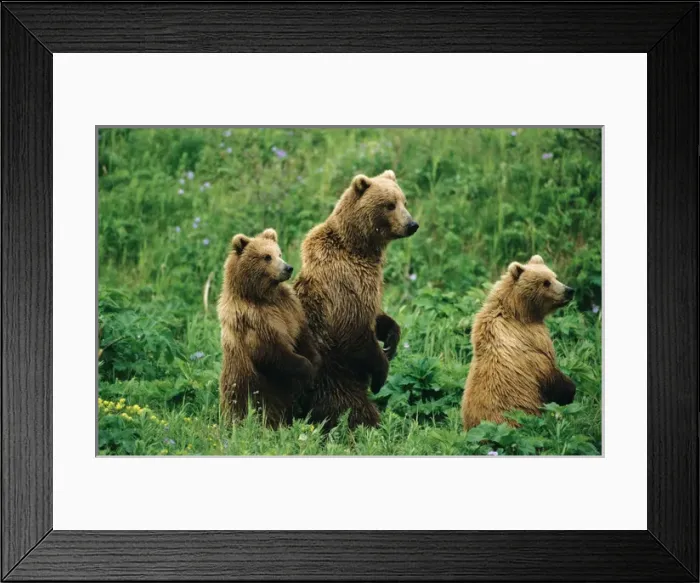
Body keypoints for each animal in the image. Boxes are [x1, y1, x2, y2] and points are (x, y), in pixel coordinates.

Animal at [218, 228, 321, 426]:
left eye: (279, 253)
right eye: (266, 257)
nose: (288, 268)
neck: (263, 296)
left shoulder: (290, 309)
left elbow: (302, 336)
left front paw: (315, 365)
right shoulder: (254, 320)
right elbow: (270, 353)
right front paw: (308, 372)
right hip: (247, 391)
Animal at [293, 170, 419, 429]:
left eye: (405, 201)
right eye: (389, 205)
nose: (412, 225)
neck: (360, 248)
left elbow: (377, 315)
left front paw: (391, 340)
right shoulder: (346, 281)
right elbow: (354, 328)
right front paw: (381, 373)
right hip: (331, 377)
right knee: (352, 407)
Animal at [461, 254, 577, 431]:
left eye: (554, 276)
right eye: (545, 282)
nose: (569, 290)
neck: (519, 312)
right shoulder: (532, 341)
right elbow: (550, 372)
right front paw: (569, 392)